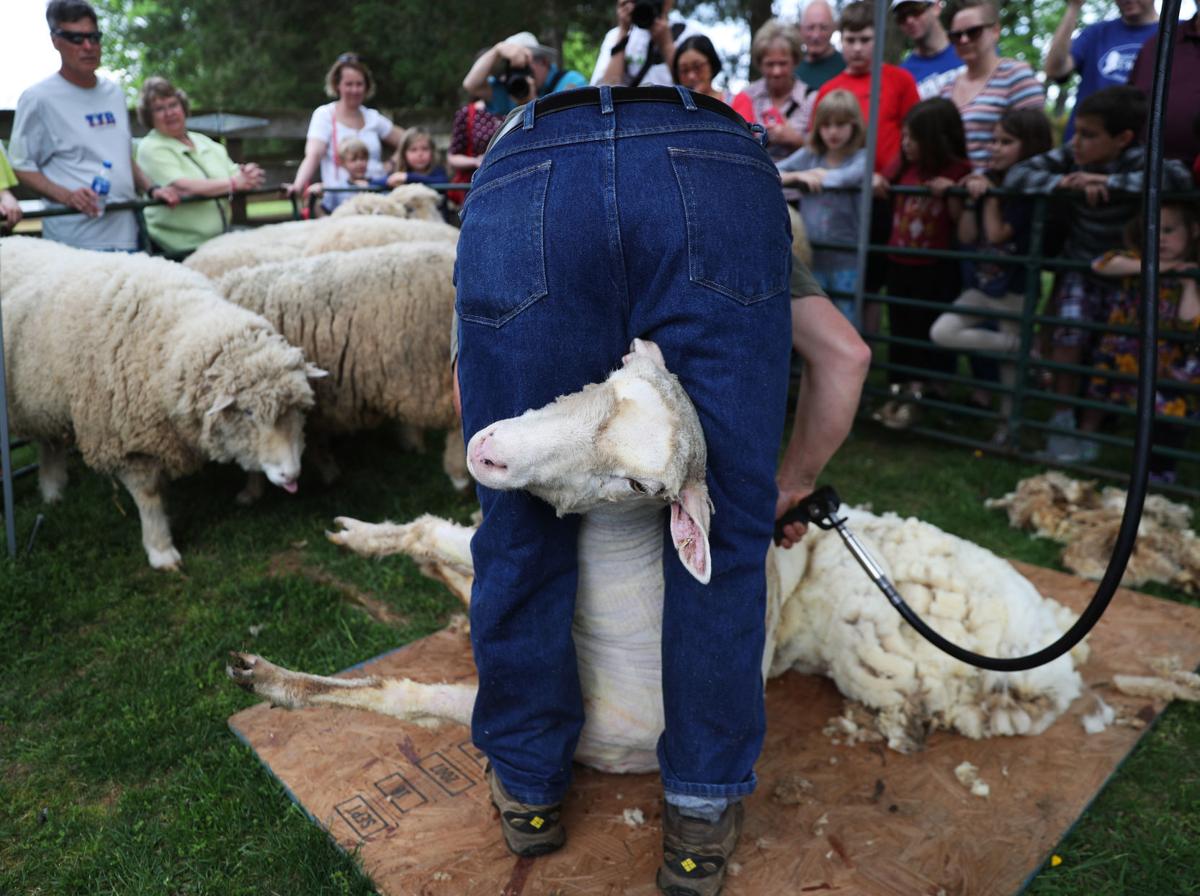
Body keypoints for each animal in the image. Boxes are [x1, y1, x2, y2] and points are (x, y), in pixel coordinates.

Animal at [0, 236, 323, 569]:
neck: (166, 338)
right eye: (247, 412)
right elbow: (150, 495)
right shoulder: (126, 442)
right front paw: (161, 550)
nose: (292, 475)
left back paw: (53, 491)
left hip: (40, 400)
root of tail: (13, 239)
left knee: (48, 442)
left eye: (300, 410)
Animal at [229, 339, 1089, 766]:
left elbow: (403, 675)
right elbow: (424, 535)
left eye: (638, 486)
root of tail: (1057, 658)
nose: (489, 452)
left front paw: (274, 673)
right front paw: (356, 533)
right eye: (607, 375)